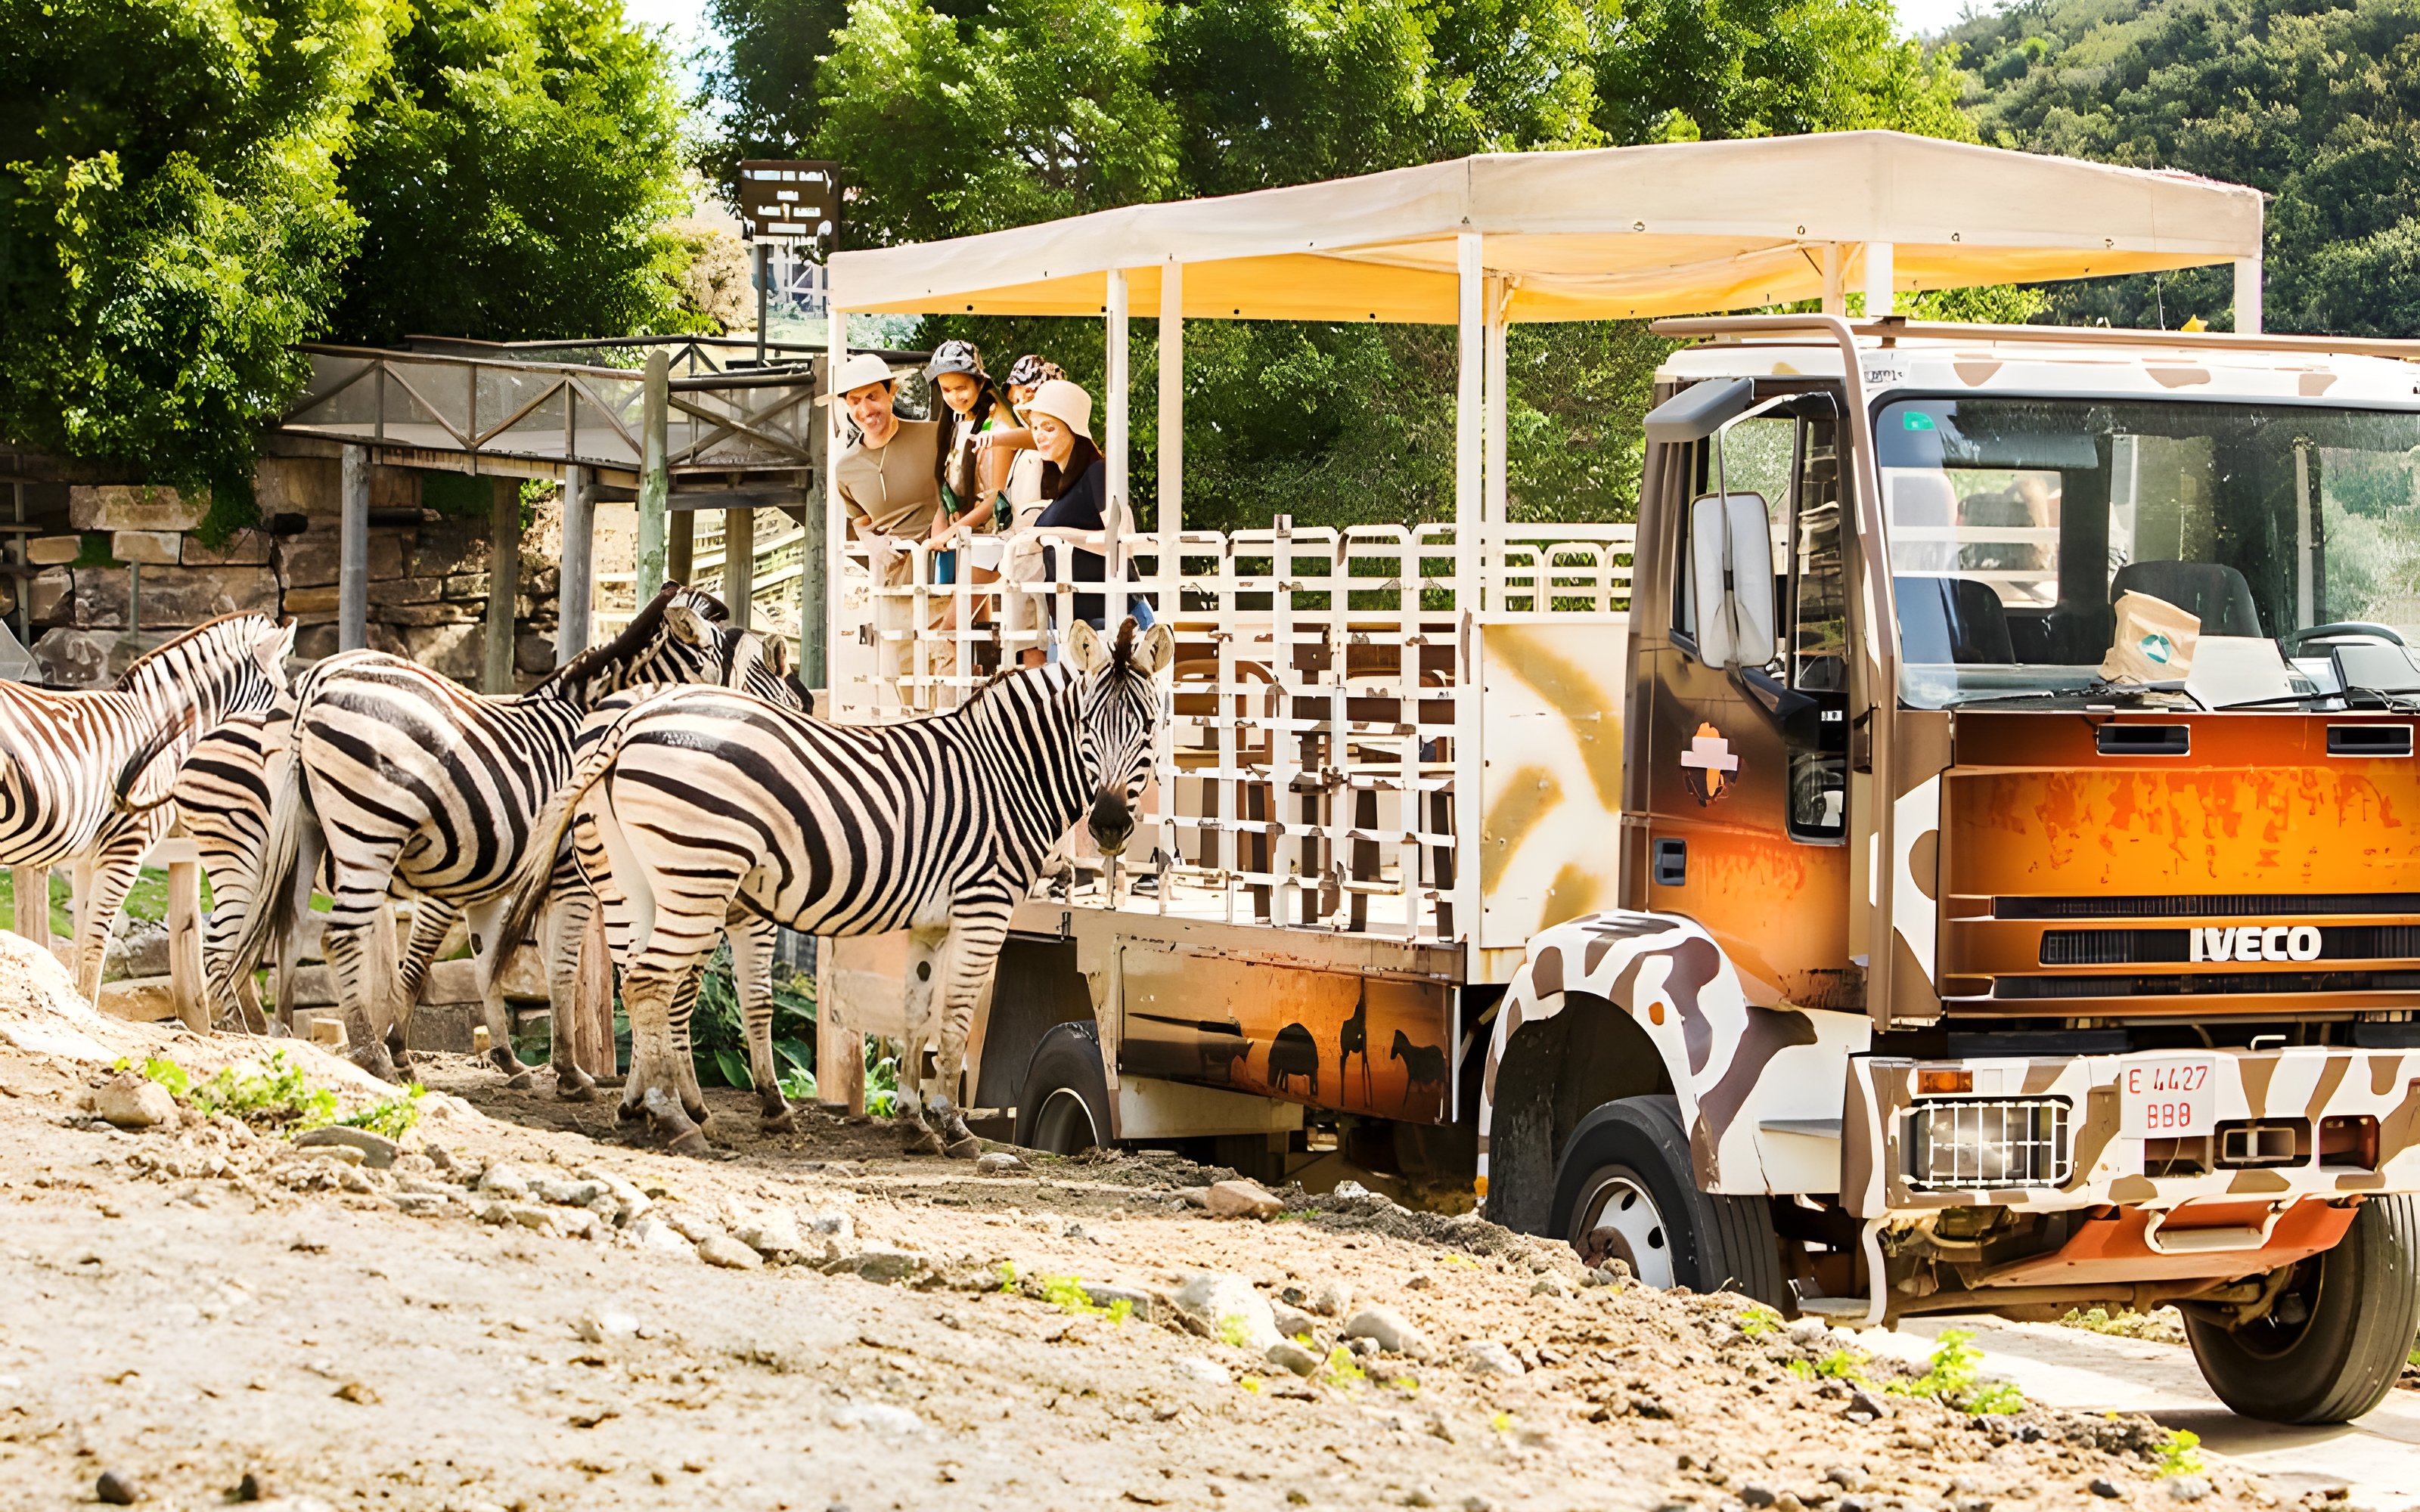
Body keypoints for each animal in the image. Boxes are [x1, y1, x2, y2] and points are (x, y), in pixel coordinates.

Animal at [227, 583, 804, 1085]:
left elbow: (490, 965)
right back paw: (370, 1058)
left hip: (302, 834)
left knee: (287, 930)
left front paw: (513, 1061)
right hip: (365, 831)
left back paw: (284, 1037)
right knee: (332, 935)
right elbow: (561, 970)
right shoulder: (570, 874)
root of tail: (321, 677)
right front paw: (570, 1073)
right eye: (787, 705)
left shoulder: (489, 879)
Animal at [499, 616, 1175, 1157]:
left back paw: (641, 1108)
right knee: (651, 982)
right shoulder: (983, 909)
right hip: (698, 873)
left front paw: (913, 1123)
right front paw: (954, 1128)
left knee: (639, 979)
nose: (1109, 824)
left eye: (1148, 725)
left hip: (637, 879)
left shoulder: (931, 923)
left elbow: (915, 1017)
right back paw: (672, 1119)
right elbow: (956, 1021)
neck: (1001, 773)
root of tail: (632, 720)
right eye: (1087, 727)